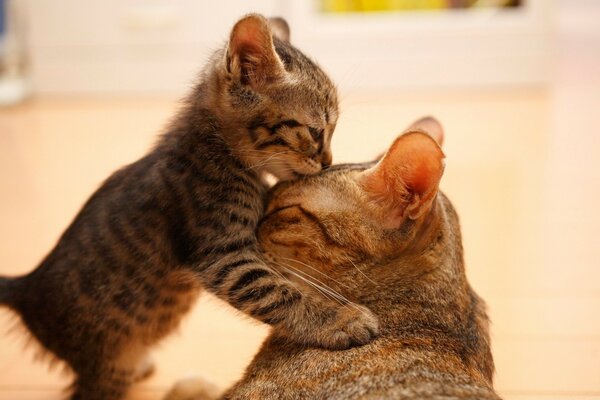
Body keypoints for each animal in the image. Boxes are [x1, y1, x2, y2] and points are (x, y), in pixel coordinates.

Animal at [0, 13, 378, 400]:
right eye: (316, 132)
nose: (328, 161)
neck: (219, 150)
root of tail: (26, 287)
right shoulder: (223, 256)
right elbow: (279, 293)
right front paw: (341, 319)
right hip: (105, 364)